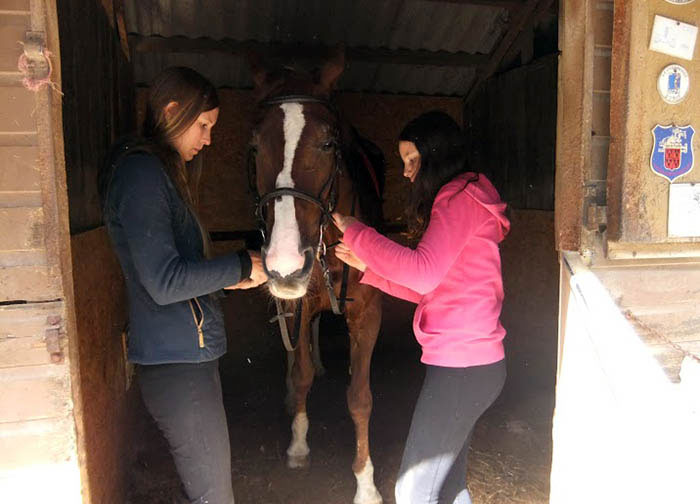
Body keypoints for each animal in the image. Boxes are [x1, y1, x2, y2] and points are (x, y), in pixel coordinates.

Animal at [249, 48, 386, 504]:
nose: (285, 263)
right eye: (255, 146)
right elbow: (301, 373)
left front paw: (366, 482)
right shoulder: (297, 301)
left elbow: (360, 398)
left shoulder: (368, 314)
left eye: (328, 144)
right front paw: (298, 444)